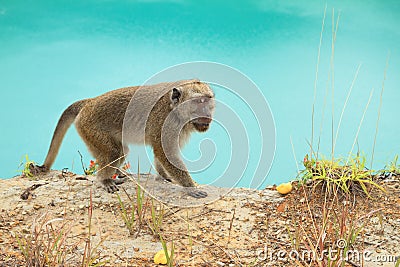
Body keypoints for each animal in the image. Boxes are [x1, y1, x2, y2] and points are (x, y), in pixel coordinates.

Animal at [36, 79, 214, 199]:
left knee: (121, 152)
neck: (174, 108)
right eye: (199, 102)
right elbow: (164, 152)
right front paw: (190, 187)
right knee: (114, 152)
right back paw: (104, 179)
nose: (207, 113)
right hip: (90, 126)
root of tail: (90, 102)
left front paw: (164, 177)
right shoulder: (165, 122)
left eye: (208, 101)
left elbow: (162, 154)